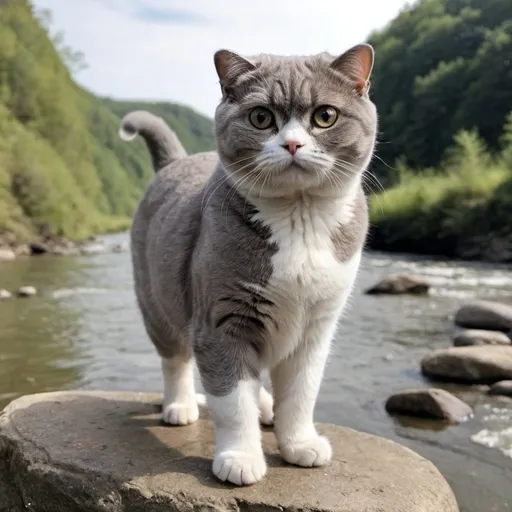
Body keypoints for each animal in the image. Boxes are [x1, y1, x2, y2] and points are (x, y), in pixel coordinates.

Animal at [119, 43, 376, 484]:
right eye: (261, 117)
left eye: (325, 116)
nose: (292, 144)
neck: (299, 219)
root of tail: (176, 161)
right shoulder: (222, 321)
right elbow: (232, 400)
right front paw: (240, 458)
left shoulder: (316, 329)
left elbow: (301, 394)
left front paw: (299, 444)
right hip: (156, 301)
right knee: (175, 358)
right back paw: (180, 405)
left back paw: (266, 407)